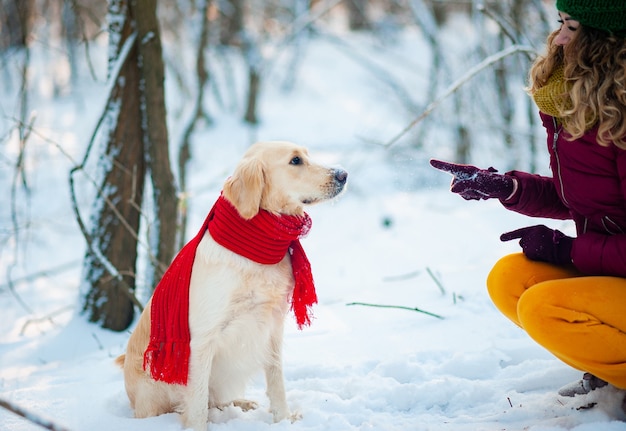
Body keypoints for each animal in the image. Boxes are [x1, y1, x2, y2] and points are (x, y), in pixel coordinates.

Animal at [113, 142, 346, 431]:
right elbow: (197, 403)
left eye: (307, 155)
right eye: (295, 161)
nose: (343, 174)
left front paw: (283, 419)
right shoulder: (202, 339)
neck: (257, 248)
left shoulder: (272, 327)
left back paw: (242, 403)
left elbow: (276, 381)